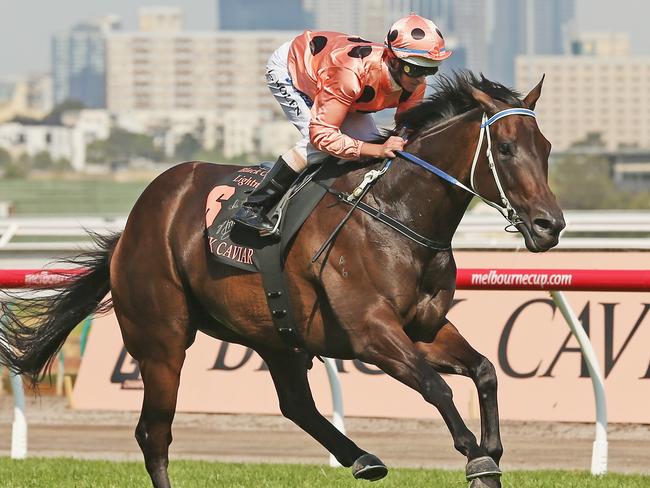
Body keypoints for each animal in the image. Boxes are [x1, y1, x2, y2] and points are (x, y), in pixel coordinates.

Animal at [1, 73, 560, 488]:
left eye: (547, 147)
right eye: (505, 149)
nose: (549, 225)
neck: (395, 215)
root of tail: (133, 226)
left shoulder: (423, 327)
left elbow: (484, 370)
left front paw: (491, 452)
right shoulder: (372, 333)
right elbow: (437, 387)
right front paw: (477, 457)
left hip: (275, 333)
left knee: (295, 404)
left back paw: (362, 458)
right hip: (161, 341)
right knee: (152, 434)